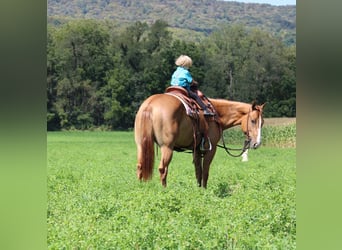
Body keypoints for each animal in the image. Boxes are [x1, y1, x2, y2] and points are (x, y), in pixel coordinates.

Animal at [134, 93, 264, 188]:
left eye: (262, 123)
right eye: (253, 121)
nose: (257, 143)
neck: (216, 115)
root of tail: (150, 105)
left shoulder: (196, 149)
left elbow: (198, 171)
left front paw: (198, 188)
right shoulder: (211, 149)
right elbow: (205, 170)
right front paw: (204, 190)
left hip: (141, 145)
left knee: (140, 166)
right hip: (167, 147)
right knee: (163, 169)